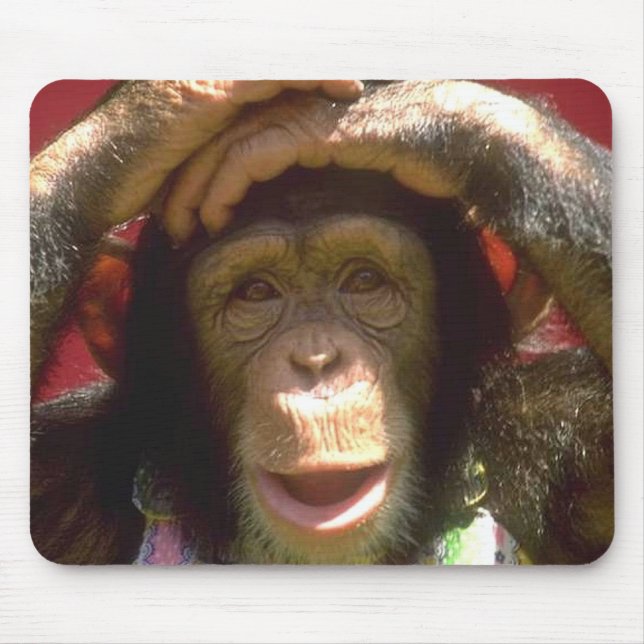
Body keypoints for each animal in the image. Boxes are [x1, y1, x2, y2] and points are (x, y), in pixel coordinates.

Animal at [30, 80, 612, 564]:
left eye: (364, 280)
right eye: (255, 292)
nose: (316, 361)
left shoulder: (569, 427)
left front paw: (369, 117)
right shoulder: (59, 469)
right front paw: (162, 110)